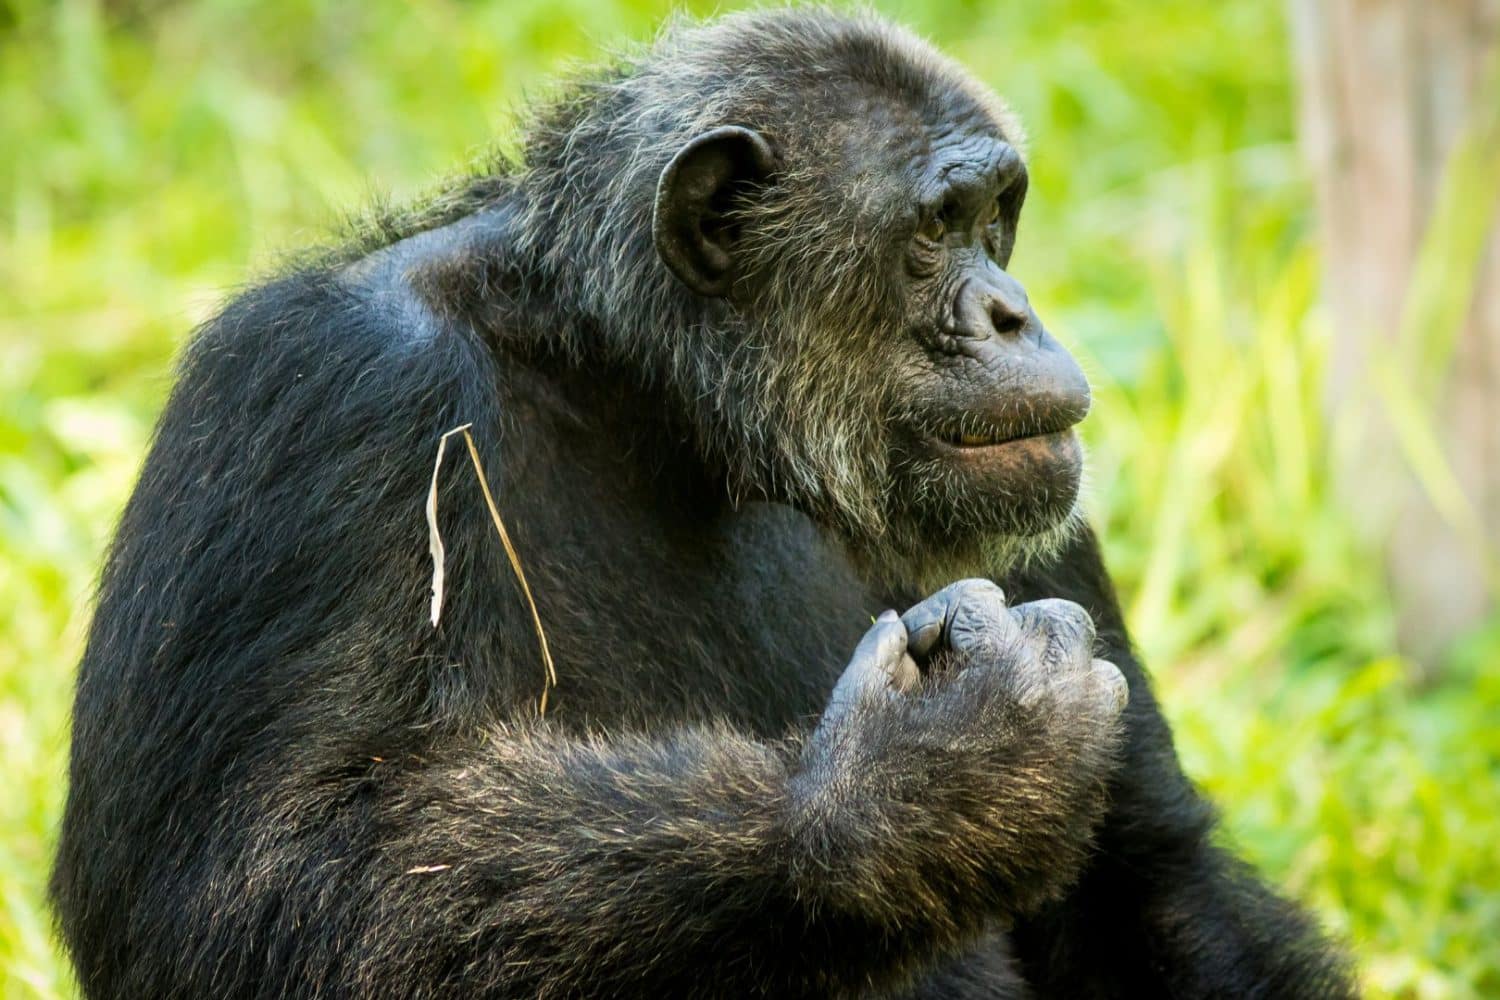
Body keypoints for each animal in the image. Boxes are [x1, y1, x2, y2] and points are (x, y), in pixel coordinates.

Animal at [52, 7, 1356, 997]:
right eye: (937, 228)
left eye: (998, 217)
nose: (1012, 310)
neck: (661, 402)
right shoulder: (322, 395)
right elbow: (249, 889)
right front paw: (922, 785)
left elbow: (1148, 875)